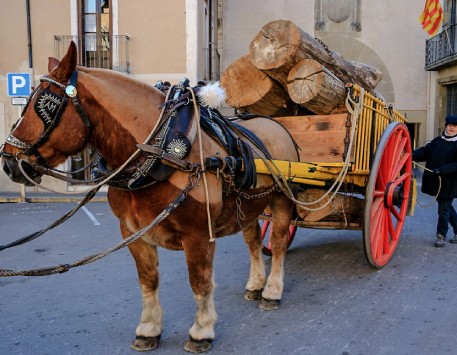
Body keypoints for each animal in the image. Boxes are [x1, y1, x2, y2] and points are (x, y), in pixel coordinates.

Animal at [0, 43, 300, 354]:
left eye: (45, 104)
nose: (8, 162)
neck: (161, 151)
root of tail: (278, 125)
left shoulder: (197, 235)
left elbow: (200, 281)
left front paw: (202, 331)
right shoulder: (133, 232)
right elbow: (148, 280)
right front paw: (148, 329)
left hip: (281, 199)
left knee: (278, 242)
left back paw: (272, 291)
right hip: (249, 204)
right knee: (253, 240)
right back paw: (255, 284)